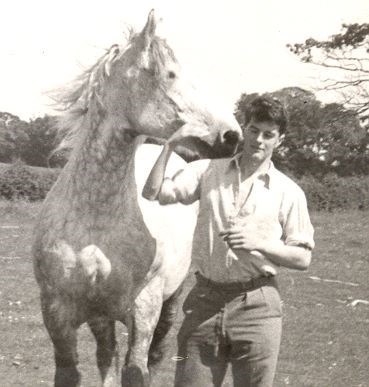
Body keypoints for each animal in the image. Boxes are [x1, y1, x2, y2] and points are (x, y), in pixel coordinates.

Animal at [32, 9, 242, 387]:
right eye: (171, 74)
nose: (233, 135)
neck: (95, 219)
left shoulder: (144, 307)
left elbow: (136, 370)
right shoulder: (56, 312)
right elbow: (74, 371)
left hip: (169, 301)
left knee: (154, 356)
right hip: (100, 314)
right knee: (107, 355)